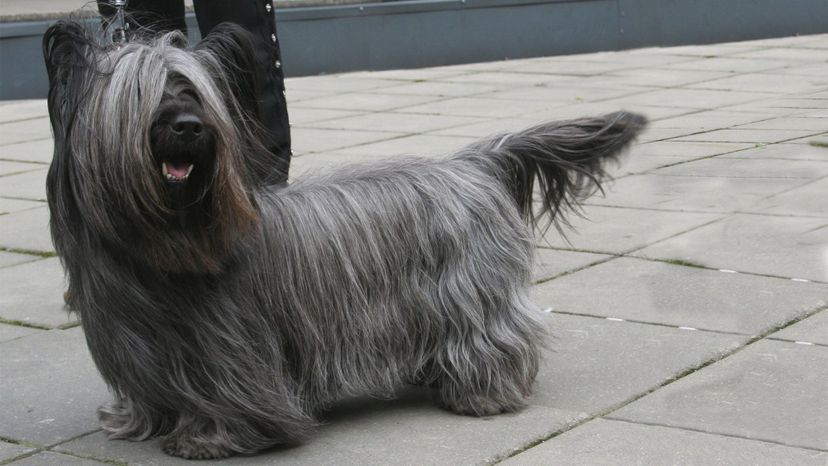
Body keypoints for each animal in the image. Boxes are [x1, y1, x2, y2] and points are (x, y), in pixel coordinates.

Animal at [43, 20, 648, 458]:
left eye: (192, 91)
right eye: (141, 96)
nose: (191, 126)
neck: (160, 245)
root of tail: (471, 163)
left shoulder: (233, 351)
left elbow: (232, 398)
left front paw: (209, 438)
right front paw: (138, 423)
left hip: (470, 294)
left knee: (495, 336)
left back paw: (484, 394)